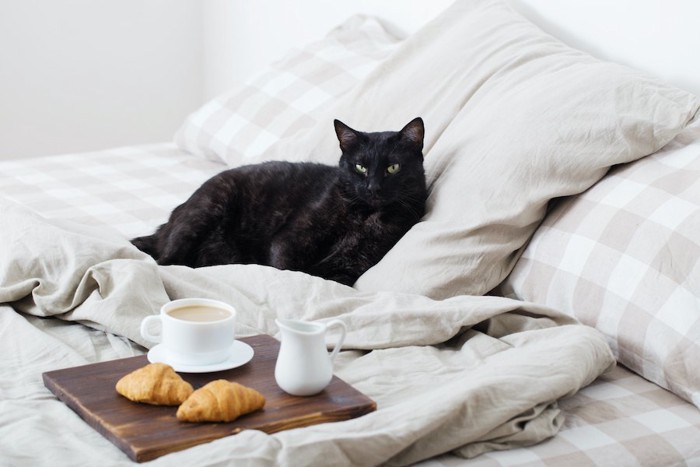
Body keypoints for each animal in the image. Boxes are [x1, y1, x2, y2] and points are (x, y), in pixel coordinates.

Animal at [131, 118, 426, 286]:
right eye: (360, 167)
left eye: (392, 168)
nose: (373, 187)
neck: (362, 217)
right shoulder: (288, 241)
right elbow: (289, 271)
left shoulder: (349, 266)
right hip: (206, 209)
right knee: (164, 262)